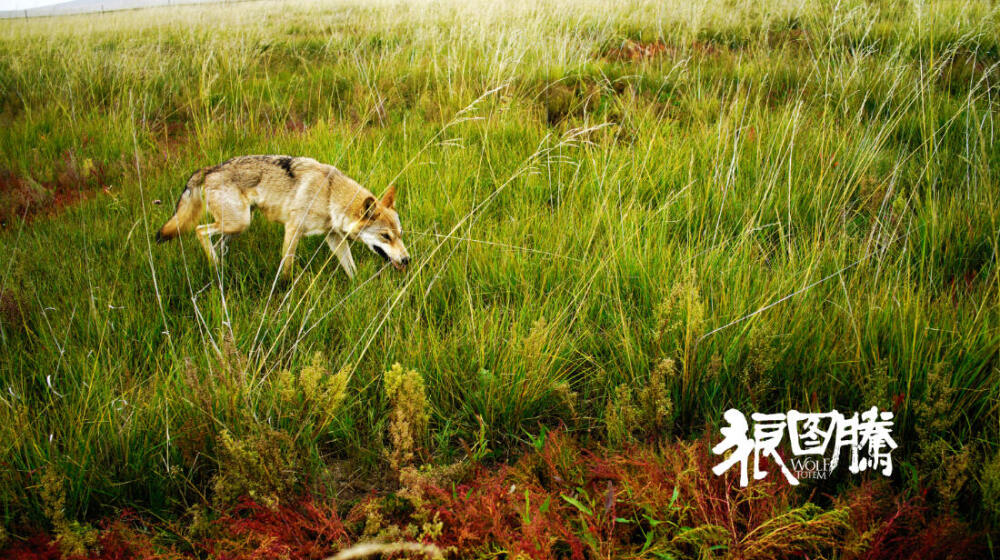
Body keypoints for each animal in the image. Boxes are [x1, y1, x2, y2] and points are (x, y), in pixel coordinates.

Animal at [154, 154, 408, 278]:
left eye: (399, 235)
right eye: (386, 236)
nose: (407, 260)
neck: (328, 194)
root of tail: (208, 169)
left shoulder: (334, 238)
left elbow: (351, 269)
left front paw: (357, 287)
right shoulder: (293, 230)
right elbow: (286, 268)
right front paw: (286, 291)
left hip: (238, 226)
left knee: (216, 244)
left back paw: (219, 270)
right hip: (238, 223)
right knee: (200, 230)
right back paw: (216, 267)